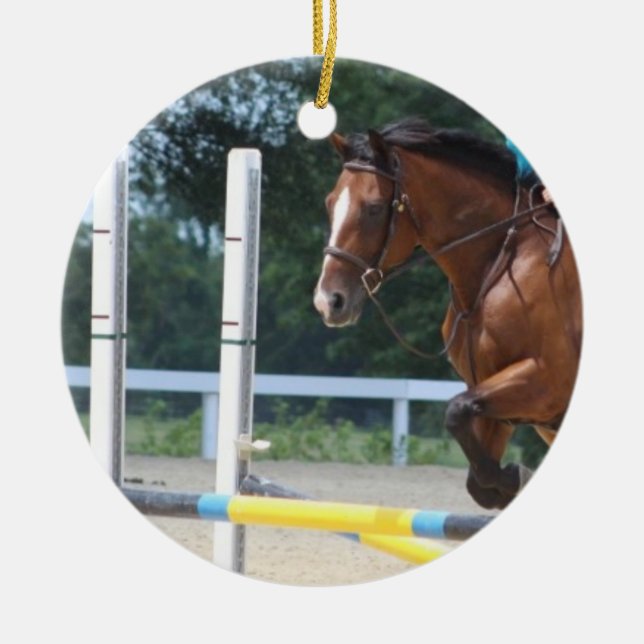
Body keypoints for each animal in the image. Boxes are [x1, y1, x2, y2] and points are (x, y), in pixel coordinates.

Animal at [313, 118, 582, 510]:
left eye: (374, 208)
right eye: (330, 203)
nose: (328, 302)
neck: (495, 266)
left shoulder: (546, 379)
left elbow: (455, 411)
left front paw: (515, 476)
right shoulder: (492, 399)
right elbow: (474, 468)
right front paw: (507, 482)